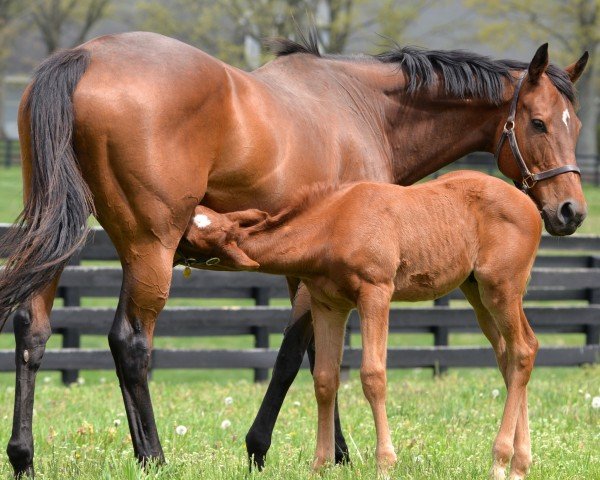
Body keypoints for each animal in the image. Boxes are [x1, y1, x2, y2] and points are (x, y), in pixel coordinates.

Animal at [180, 171, 540, 478]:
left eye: (191, 237)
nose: (165, 244)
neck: (332, 226)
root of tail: (531, 207)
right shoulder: (328, 305)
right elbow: (325, 379)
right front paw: (320, 465)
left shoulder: (375, 292)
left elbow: (373, 375)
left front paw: (385, 464)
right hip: (476, 290)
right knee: (509, 355)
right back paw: (520, 464)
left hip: (501, 287)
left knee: (523, 349)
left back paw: (501, 463)